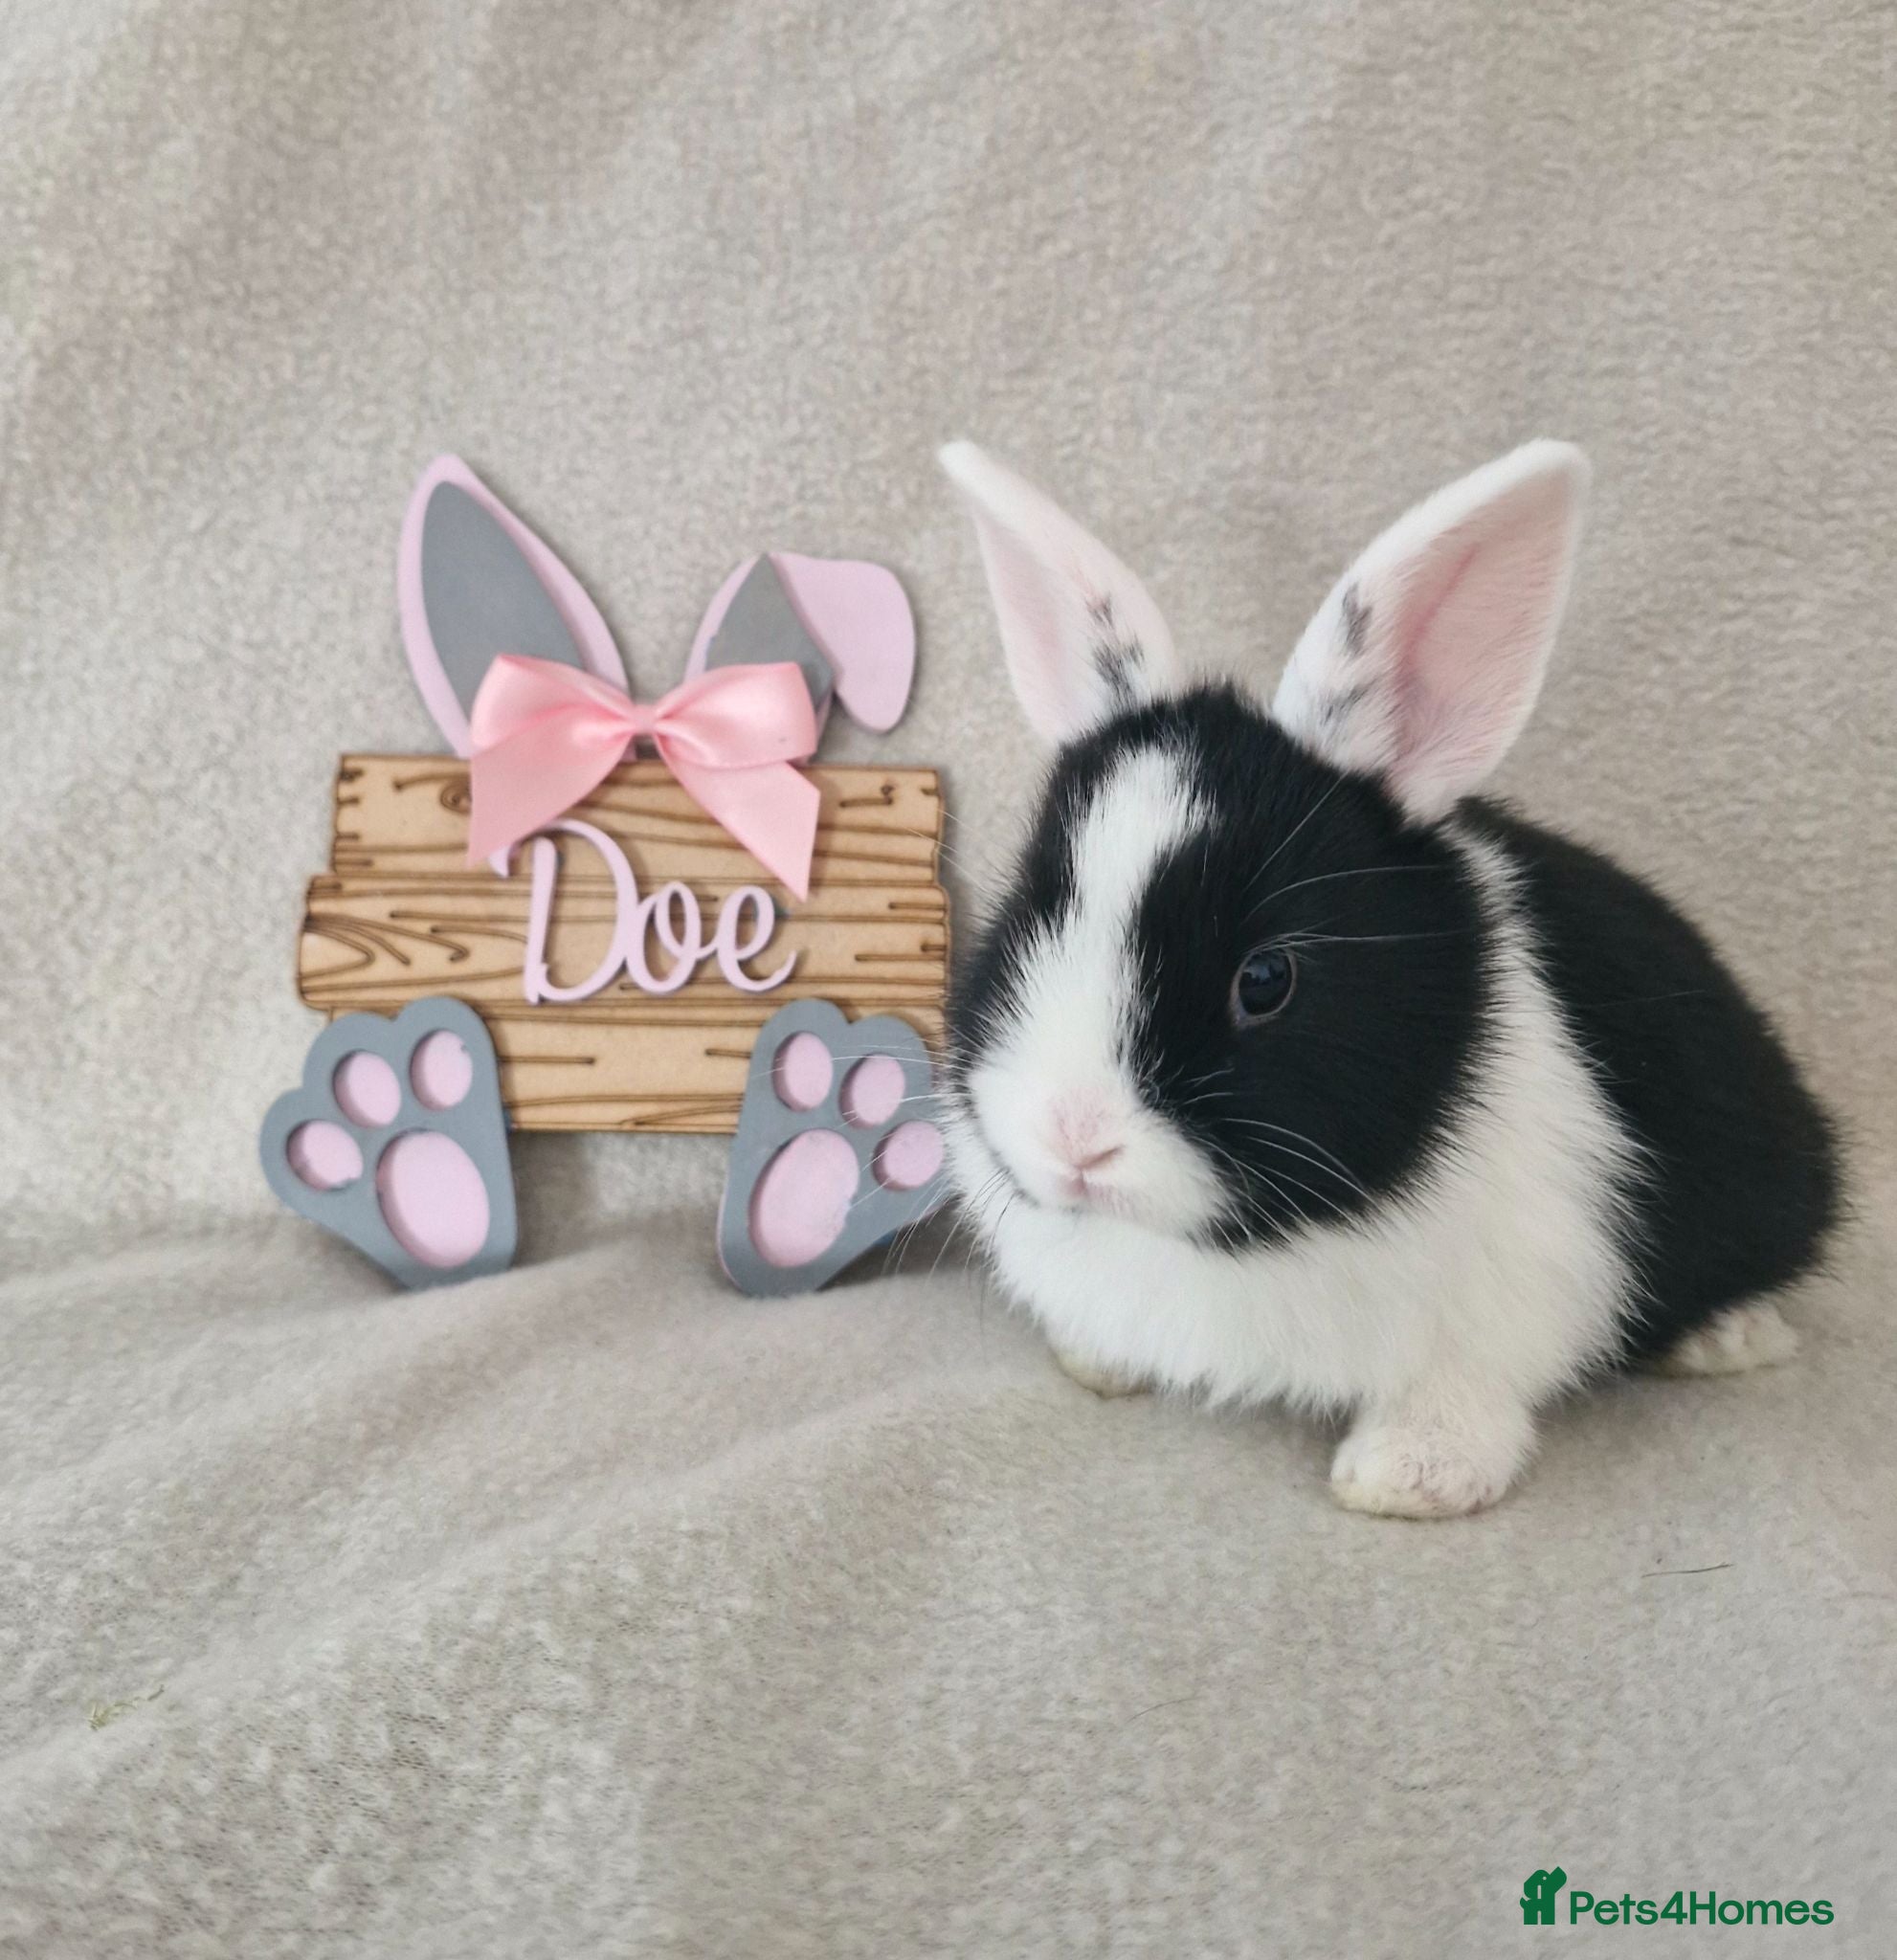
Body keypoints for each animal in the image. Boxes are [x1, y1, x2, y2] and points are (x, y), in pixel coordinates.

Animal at [937, 438, 1839, 1518]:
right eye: (1030, 914)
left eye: (1265, 979)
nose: (1074, 1142)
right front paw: (1096, 1362)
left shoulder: (1507, 1296)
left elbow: (1457, 1394)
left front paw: (1405, 1479)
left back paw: (1727, 1337)